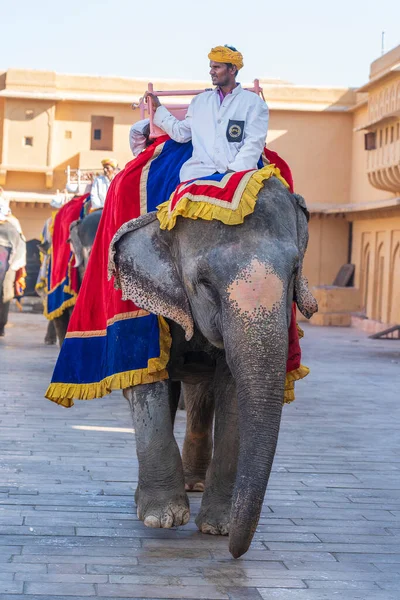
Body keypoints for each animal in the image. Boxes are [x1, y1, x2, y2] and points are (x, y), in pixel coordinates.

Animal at [111, 177, 318, 556]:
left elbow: (233, 389)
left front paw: (219, 526)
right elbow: (144, 378)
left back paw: (194, 483)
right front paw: (162, 518)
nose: (235, 553)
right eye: (205, 283)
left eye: (295, 270)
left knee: (199, 394)